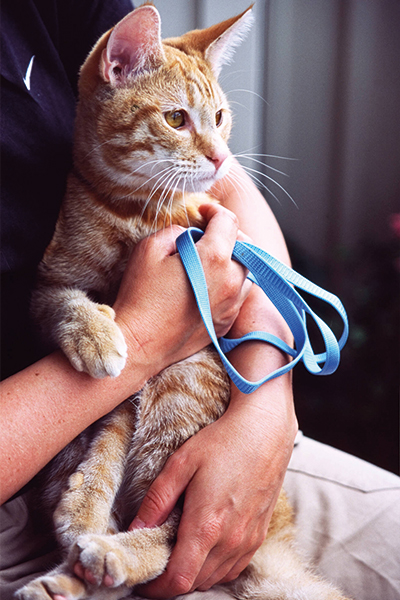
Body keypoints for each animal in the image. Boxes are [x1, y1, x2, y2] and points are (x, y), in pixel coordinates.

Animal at [18, 5, 350, 600]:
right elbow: (73, 315)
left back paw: (112, 554)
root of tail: (274, 536)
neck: (131, 210)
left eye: (219, 117)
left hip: (182, 385)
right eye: (176, 119)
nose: (221, 158)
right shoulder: (50, 285)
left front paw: (87, 518)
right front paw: (96, 335)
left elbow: (114, 439)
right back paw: (69, 574)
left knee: (176, 535)